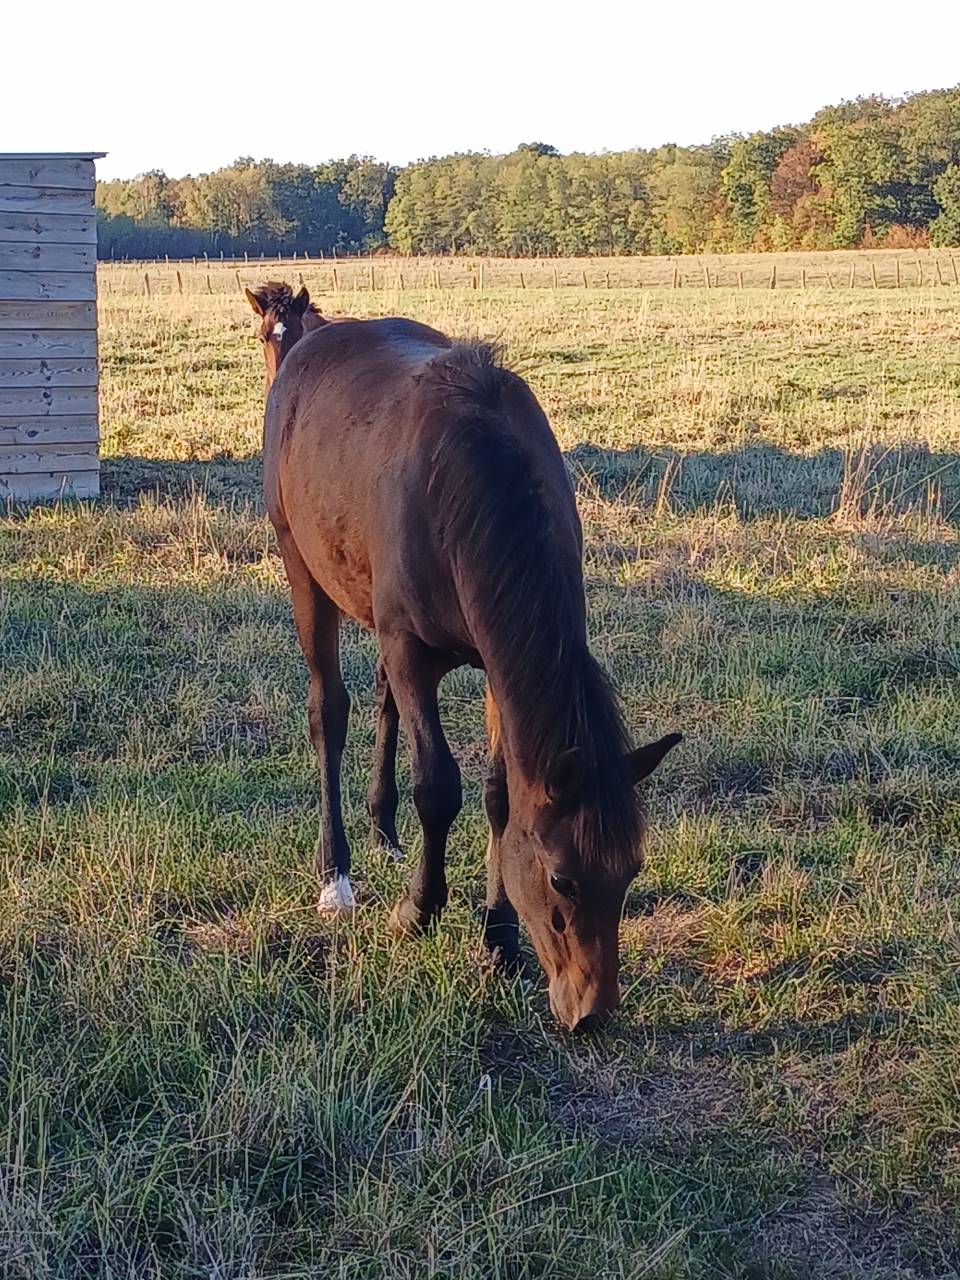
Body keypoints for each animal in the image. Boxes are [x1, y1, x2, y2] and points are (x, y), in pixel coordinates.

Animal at [248, 283, 681, 1030]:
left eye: (631, 869)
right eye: (563, 878)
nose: (592, 1012)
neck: (466, 486)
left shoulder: (495, 664)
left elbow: (501, 793)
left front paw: (499, 941)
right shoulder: (409, 647)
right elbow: (439, 785)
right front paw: (417, 909)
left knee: (379, 701)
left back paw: (383, 827)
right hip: (301, 568)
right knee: (328, 710)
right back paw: (338, 875)